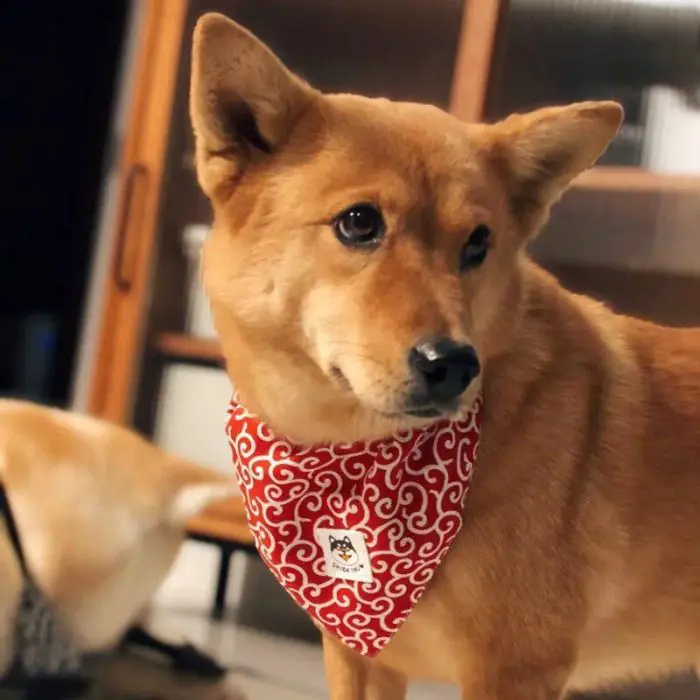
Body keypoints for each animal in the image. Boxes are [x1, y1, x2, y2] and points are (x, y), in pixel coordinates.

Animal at [189, 12, 700, 700]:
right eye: (359, 223)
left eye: (479, 242)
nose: (455, 364)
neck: (349, 454)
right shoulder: (359, 656)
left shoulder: (515, 669)